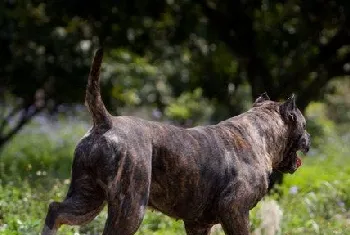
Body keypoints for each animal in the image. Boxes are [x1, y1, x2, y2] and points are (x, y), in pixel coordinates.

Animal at [41, 48, 312, 234]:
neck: (260, 133)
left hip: (88, 197)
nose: (309, 138)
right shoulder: (235, 210)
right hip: (129, 207)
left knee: (56, 211)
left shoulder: (198, 224)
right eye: (304, 124)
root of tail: (105, 122)